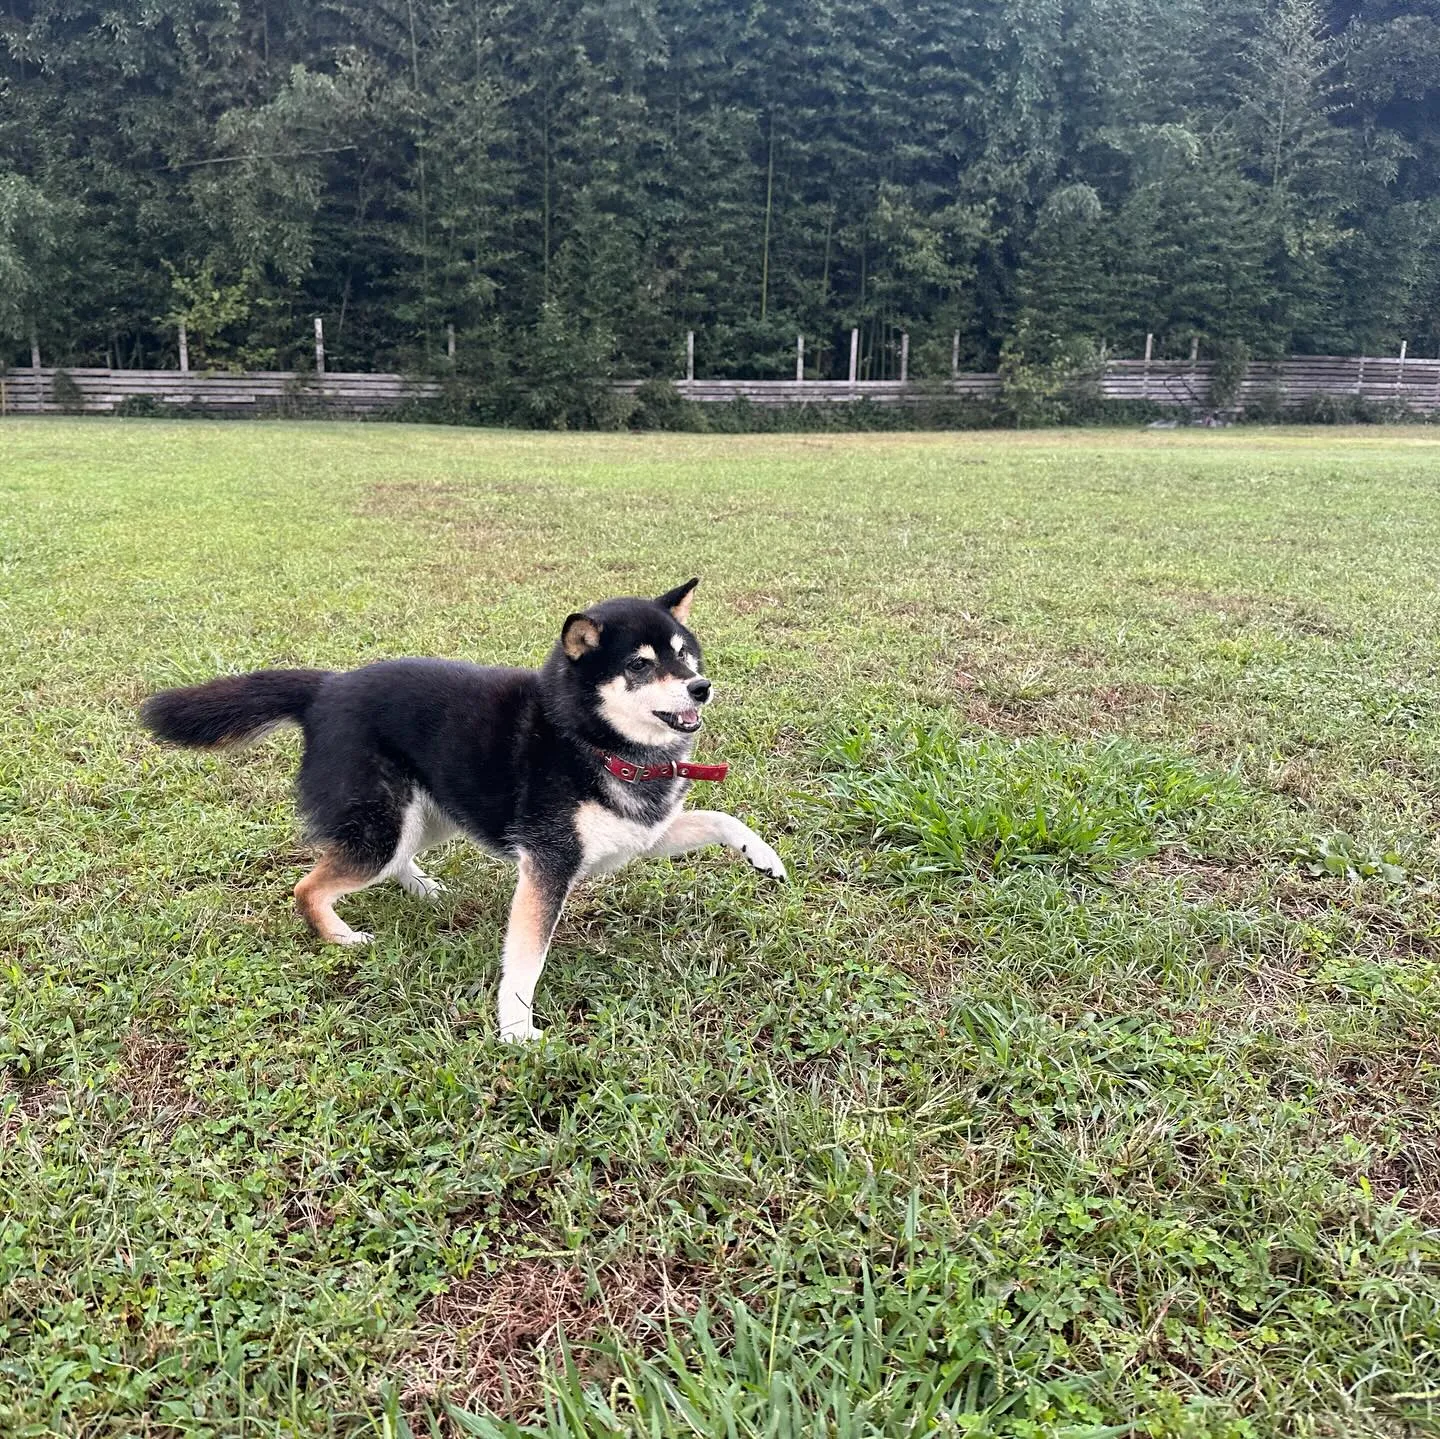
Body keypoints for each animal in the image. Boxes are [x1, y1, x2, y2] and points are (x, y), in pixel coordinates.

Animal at [137, 579, 789, 1042]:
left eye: (685, 655)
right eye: (639, 665)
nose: (701, 687)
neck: (592, 741)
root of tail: (327, 687)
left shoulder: (643, 833)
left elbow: (722, 820)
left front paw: (764, 858)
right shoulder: (549, 864)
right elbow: (525, 960)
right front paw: (516, 1029)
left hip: (429, 818)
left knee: (395, 861)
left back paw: (424, 888)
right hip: (383, 826)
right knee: (308, 886)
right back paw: (341, 936)